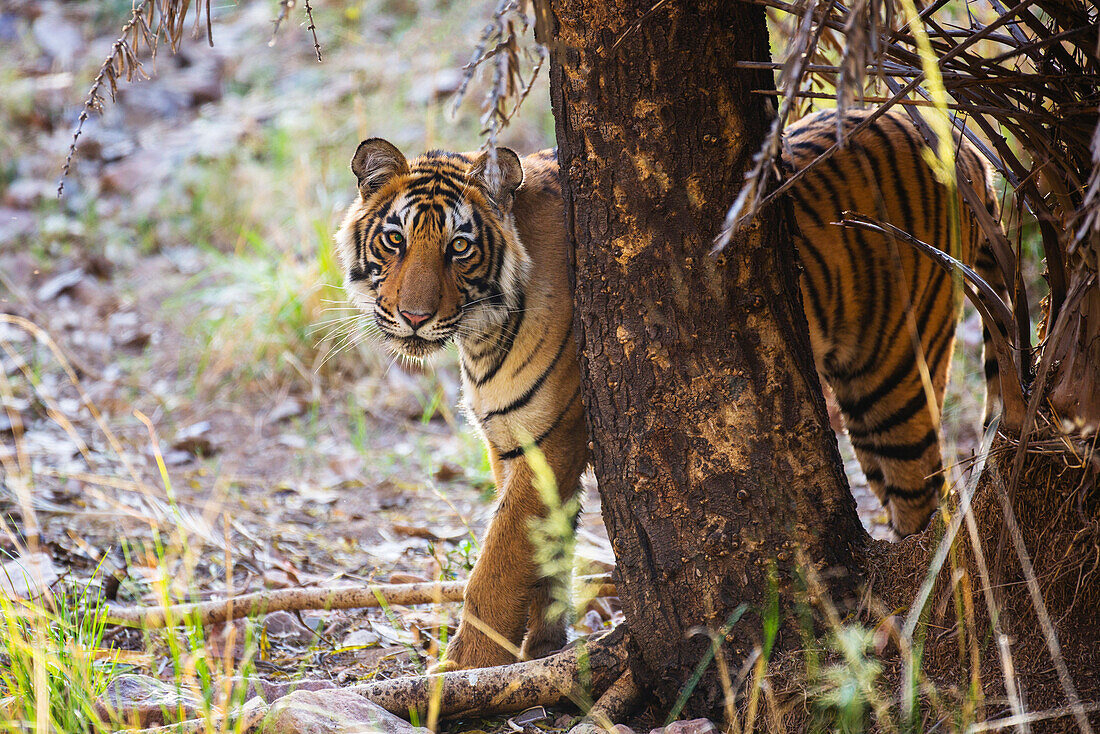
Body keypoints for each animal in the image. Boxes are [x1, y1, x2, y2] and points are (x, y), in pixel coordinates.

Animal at [332, 108, 1007, 673]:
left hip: (894, 377)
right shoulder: (512, 444)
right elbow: (542, 557)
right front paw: (539, 654)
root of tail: (952, 129)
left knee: (927, 502)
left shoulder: (549, 441)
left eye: (459, 247)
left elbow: (495, 569)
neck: (478, 336)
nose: (414, 317)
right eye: (394, 240)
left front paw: (456, 675)